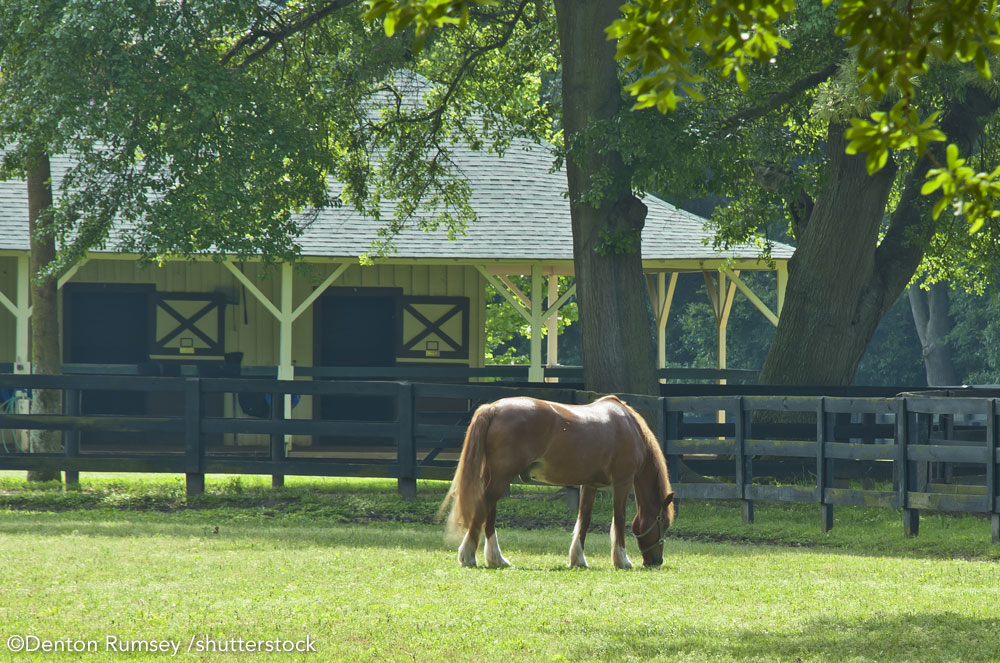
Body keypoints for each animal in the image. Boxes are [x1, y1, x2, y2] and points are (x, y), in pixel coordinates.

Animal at [436, 394, 672, 572]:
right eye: (664, 522)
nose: (656, 561)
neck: (628, 426)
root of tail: (493, 408)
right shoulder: (623, 483)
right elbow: (619, 519)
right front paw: (622, 560)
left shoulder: (590, 485)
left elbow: (584, 519)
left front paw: (578, 559)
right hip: (501, 477)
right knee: (482, 508)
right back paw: (469, 556)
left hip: (494, 477)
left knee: (489, 512)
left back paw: (496, 559)